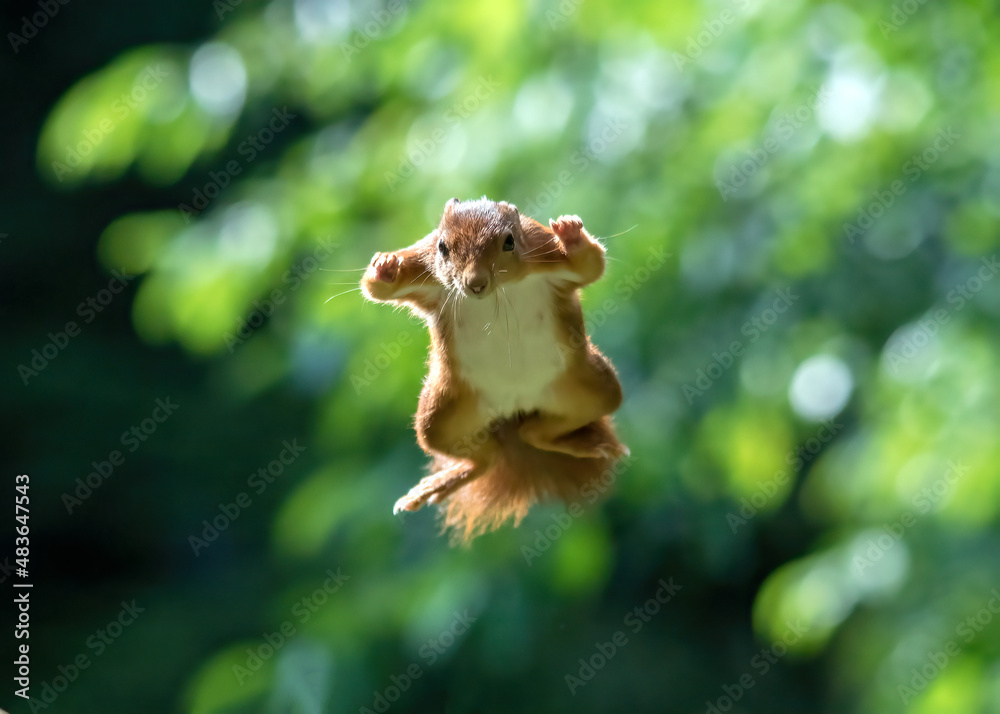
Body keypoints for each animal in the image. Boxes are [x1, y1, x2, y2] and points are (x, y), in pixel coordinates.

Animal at [360, 197, 627, 541]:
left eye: (510, 242)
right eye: (442, 246)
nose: (475, 284)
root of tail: (514, 410)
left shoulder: (545, 252)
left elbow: (590, 266)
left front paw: (570, 232)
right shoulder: (424, 266)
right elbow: (375, 289)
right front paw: (386, 265)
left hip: (589, 389)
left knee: (543, 429)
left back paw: (577, 443)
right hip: (443, 414)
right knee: (483, 457)